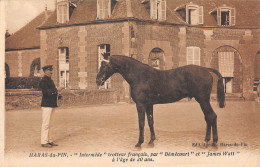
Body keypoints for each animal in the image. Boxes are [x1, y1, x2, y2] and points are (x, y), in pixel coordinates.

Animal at [96, 54, 224, 147]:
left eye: (104, 66)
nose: (98, 81)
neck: (139, 75)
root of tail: (205, 69)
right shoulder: (149, 105)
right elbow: (150, 121)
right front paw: (151, 140)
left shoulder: (140, 105)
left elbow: (141, 123)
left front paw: (139, 143)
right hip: (202, 101)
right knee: (208, 118)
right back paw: (207, 140)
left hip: (203, 100)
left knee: (212, 116)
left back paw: (212, 141)